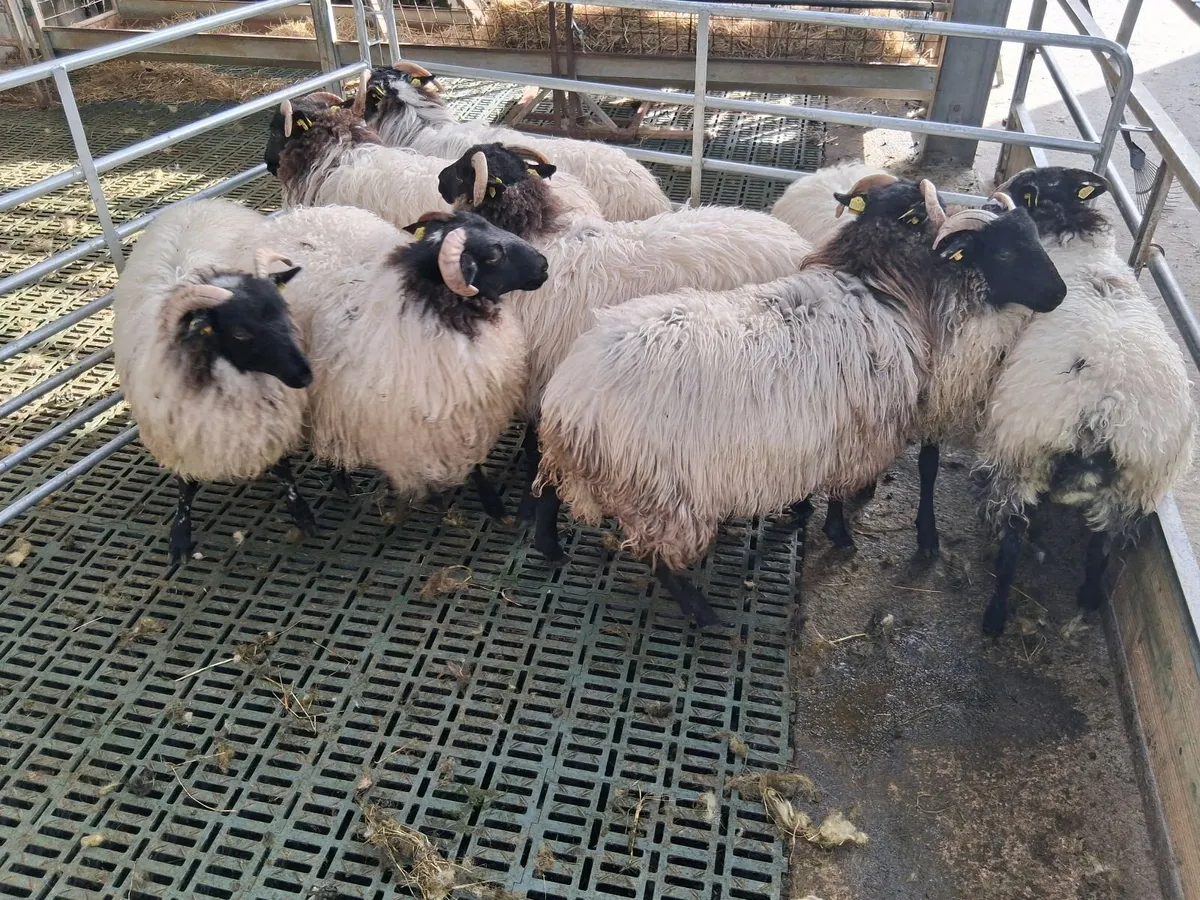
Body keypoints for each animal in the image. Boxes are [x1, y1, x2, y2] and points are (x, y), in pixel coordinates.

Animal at [112, 199, 314, 565]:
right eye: (240, 333)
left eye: (283, 309)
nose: (305, 375)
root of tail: (199, 201)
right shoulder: (178, 435)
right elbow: (186, 486)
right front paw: (180, 536)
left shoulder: (271, 423)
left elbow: (283, 470)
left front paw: (302, 514)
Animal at [262, 208, 549, 519]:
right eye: (494, 255)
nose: (543, 264)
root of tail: (291, 218)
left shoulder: (466, 412)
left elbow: (474, 461)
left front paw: (489, 503)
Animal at [436, 141, 816, 540]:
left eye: (463, 171)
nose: (439, 180)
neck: (539, 240)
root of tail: (798, 245)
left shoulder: (542, 373)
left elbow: (534, 446)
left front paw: (528, 506)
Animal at [532, 177, 1067, 626]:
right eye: (1004, 252)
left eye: (1034, 237)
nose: (1059, 294)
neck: (875, 283)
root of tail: (569, 406)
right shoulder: (858, 435)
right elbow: (839, 495)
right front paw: (840, 534)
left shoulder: (812, 434)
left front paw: (798, 510)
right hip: (666, 494)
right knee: (657, 558)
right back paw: (702, 613)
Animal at [958, 166, 1196, 636]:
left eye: (1023, 190)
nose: (992, 201)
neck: (1076, 241)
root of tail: (1104, 410)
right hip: (1134, 488)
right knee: (1102, 547)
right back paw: (1088, 597)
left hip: (1022, 456)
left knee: (1014, 540)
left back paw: (995, 616)